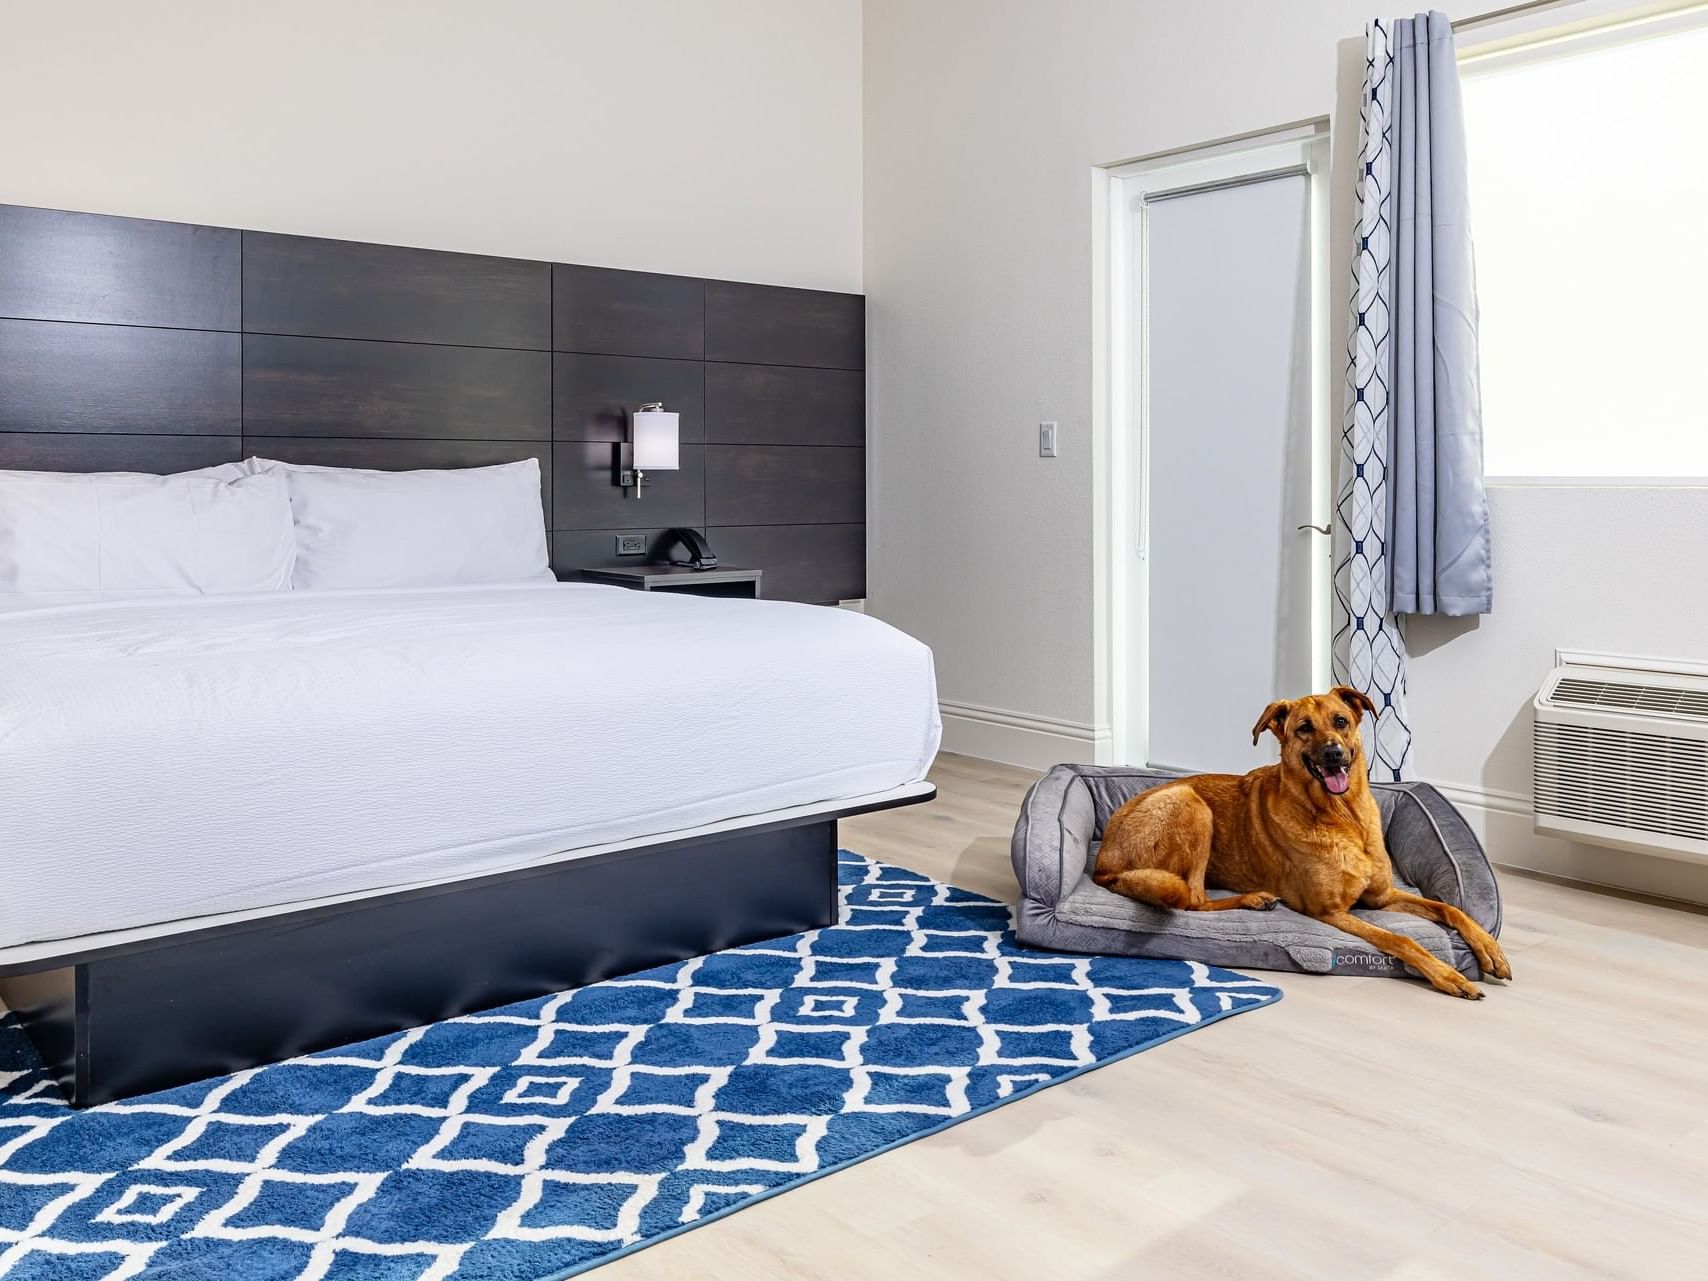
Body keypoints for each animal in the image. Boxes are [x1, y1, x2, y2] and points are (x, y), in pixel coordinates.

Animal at [1093, 686, 1509, 997]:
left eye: (1341, 721)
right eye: (1304, 728)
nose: (1333, 754)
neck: (1343, 817)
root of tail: (1101, 864)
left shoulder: (1382, 897)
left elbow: (1450, 909)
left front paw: (1490, 949)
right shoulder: (1331, 912)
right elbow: (1402, 940)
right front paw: (1450, 976)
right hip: (1191, 804)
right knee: (1193, 900)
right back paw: (1253, 898)